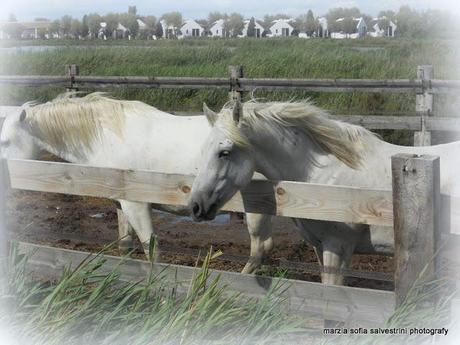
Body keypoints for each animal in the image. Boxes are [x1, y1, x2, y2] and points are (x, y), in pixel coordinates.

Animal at [0, 92, 274, 272]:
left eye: (4, 141)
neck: (108, 137)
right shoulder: (121, 204)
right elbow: (125, 245)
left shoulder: (137, 205)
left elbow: (152, 251)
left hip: (255, 212)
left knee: (258, 250)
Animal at [188, 100, 460, 284]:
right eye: (202, 150)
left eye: (225, 152)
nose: (195, 206)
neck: (323, 180)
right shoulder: (320, 248)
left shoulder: (337, 248)